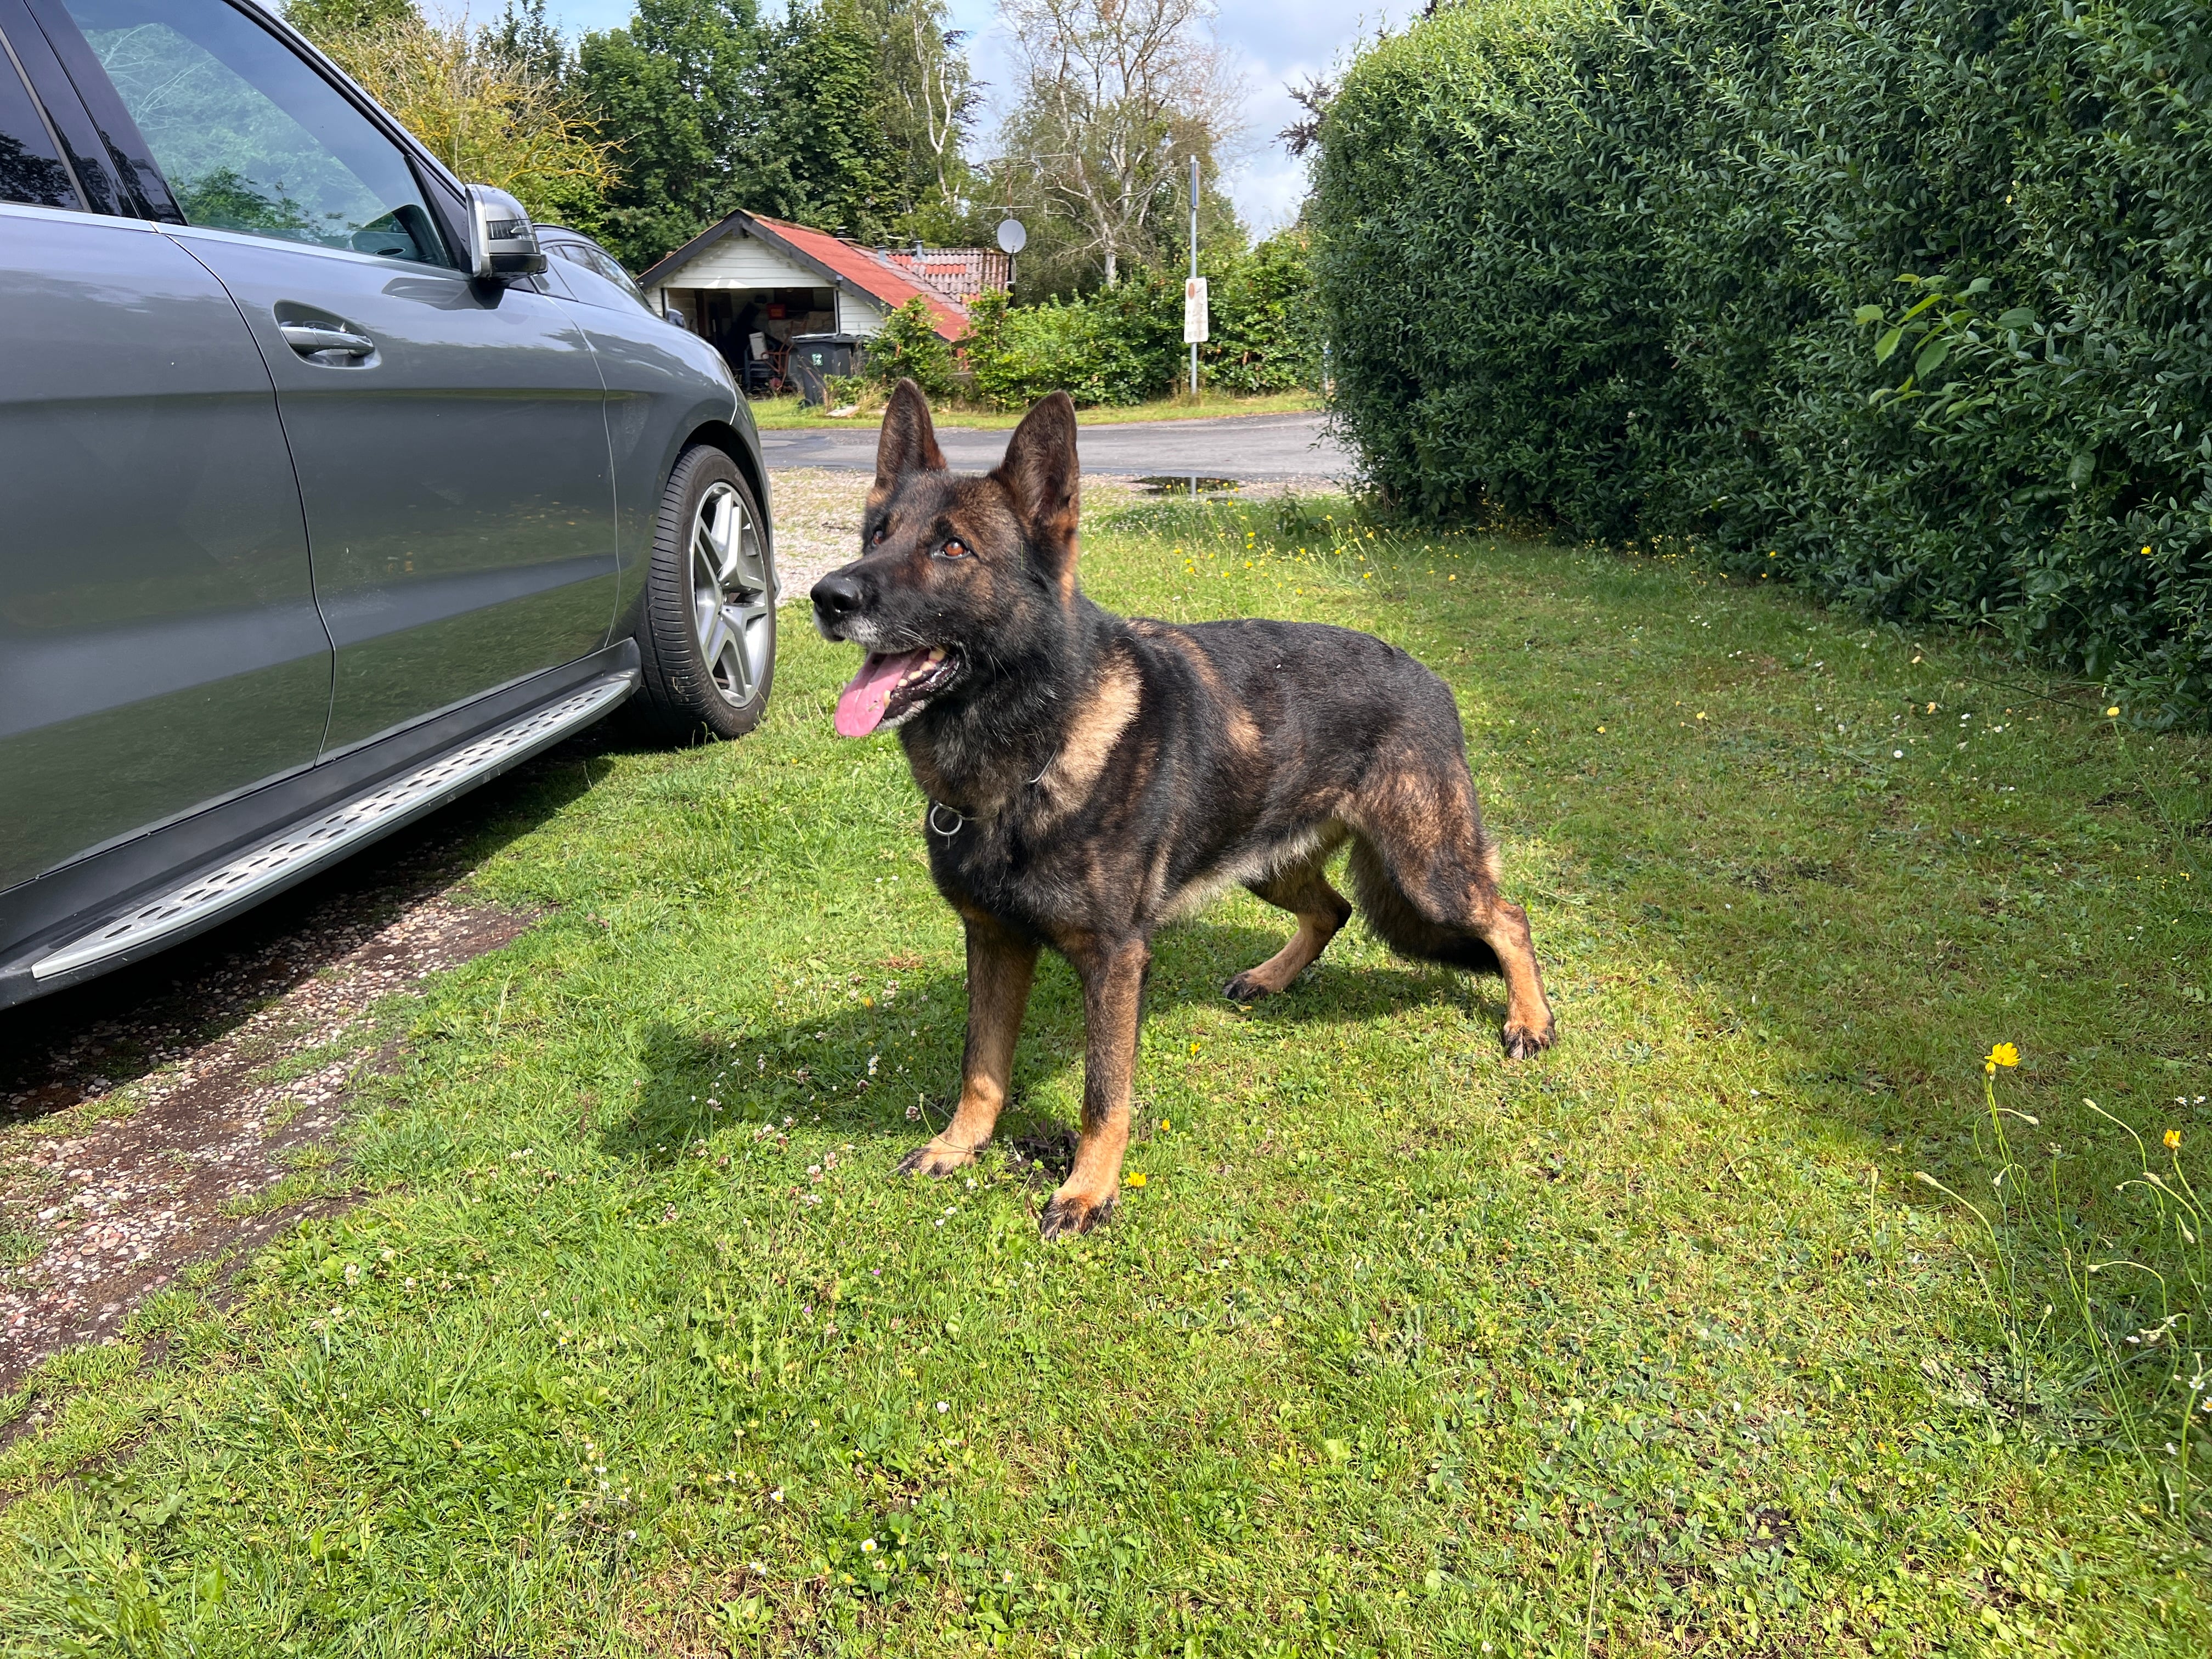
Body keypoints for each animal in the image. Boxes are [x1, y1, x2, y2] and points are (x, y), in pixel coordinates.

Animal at [810, 381, 1554, 1236]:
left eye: (953, 549)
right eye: (877, 535)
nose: (827, 596)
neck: (1035, 748)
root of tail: (1431, 676)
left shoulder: (1114, 961)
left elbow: (1104, 1095)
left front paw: (1088, 1190)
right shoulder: (995, 941)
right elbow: (981, 1067)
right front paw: (958, 1146)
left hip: (1428, 866)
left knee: (1507, 917)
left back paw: (1530, 1019)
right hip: (1264, 861)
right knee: (1332, 910)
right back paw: (1272, 977)